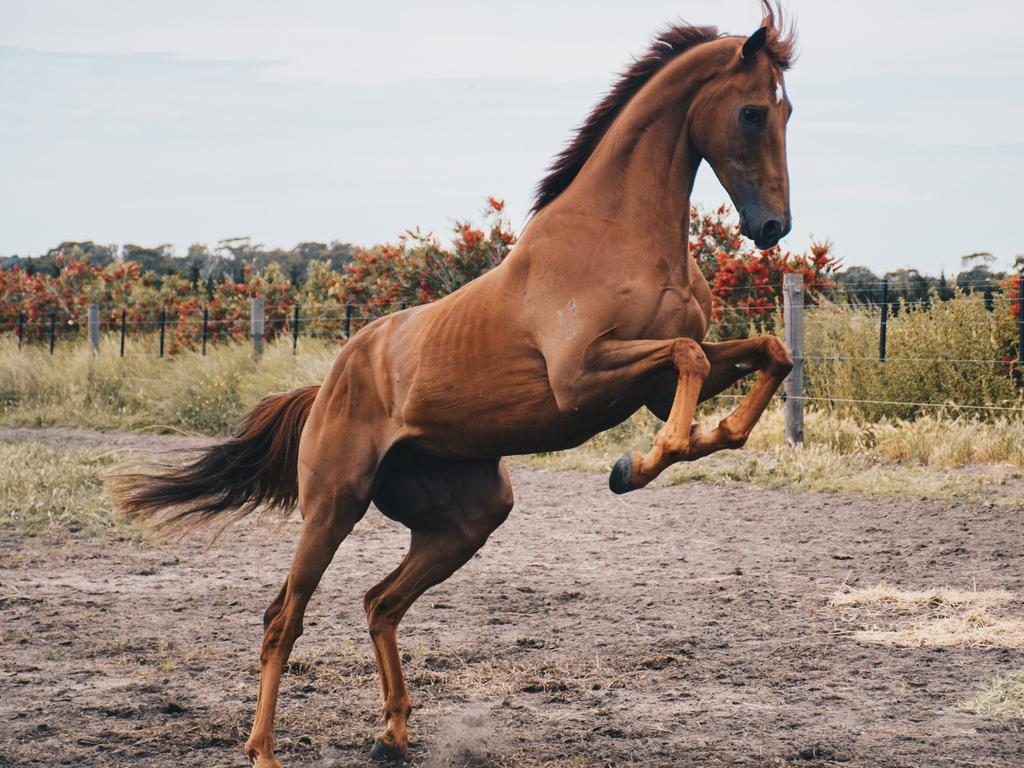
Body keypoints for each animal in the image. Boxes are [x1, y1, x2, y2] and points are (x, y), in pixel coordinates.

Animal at [114, 3, 798, 765]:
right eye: (750, 112)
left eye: (787, 110)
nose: (774, 225)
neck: (614, 235)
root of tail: (328, 384)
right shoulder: (582, 379)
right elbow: (688, 360)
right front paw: (639, 464)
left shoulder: (650, 385)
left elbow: (764, 354)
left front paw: (698, 439)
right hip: (332, 507)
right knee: (282, 617)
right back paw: (264, 749)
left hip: (469, 518)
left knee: (379, 603)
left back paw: (393, 735)